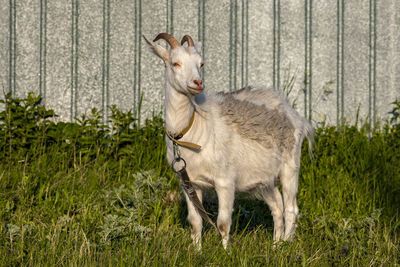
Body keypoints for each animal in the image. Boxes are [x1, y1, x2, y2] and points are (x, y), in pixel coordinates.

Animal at [143, 33, 312, 251]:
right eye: (175, 63)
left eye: (201, 63)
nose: (197, 83)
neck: (194, 128)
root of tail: (292, 112)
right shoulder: (189, 183)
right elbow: (195, 221)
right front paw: (197, 251)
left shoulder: (225, 181)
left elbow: (223, 223)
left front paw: (226, 252)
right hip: (264, 177)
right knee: (277, 207)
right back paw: (276, 246)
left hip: (290, 166)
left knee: (291, 208)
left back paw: (286, 246)